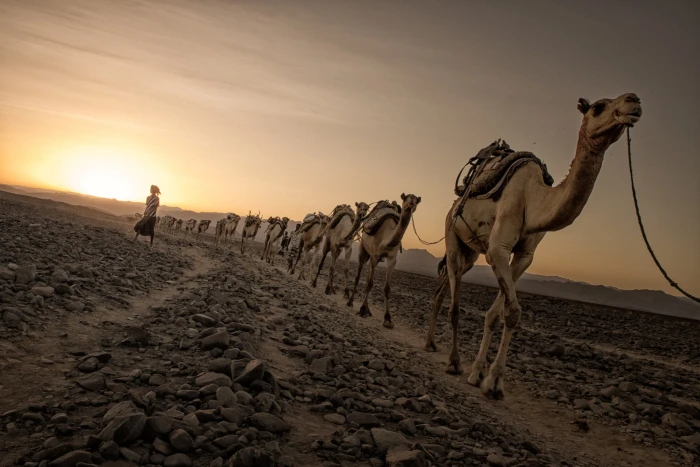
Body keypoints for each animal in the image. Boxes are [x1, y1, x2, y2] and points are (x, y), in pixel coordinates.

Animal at [346, 194, 420, 328]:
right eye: (405, 198)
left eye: (416, 201)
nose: (410, 205)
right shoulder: (375, 255)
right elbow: (370, 283)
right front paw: (362, 309)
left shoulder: (392, 259)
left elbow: (387, 288)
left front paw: (388, 318)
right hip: (363, 250)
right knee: (358, 276)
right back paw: (350, 302)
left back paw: (368, 310)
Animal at [423, 93, 642, 400]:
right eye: (599, 107)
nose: (633, 101)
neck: (533, 197)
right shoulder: (498, 249)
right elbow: (513, 312)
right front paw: (491, 381)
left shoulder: (524, 256)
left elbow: (498, 314)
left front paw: (482, 374)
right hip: (452, 235)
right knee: (454, 303)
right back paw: (453, 362)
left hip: (471, 252)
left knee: (444, 288)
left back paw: (431, 343)